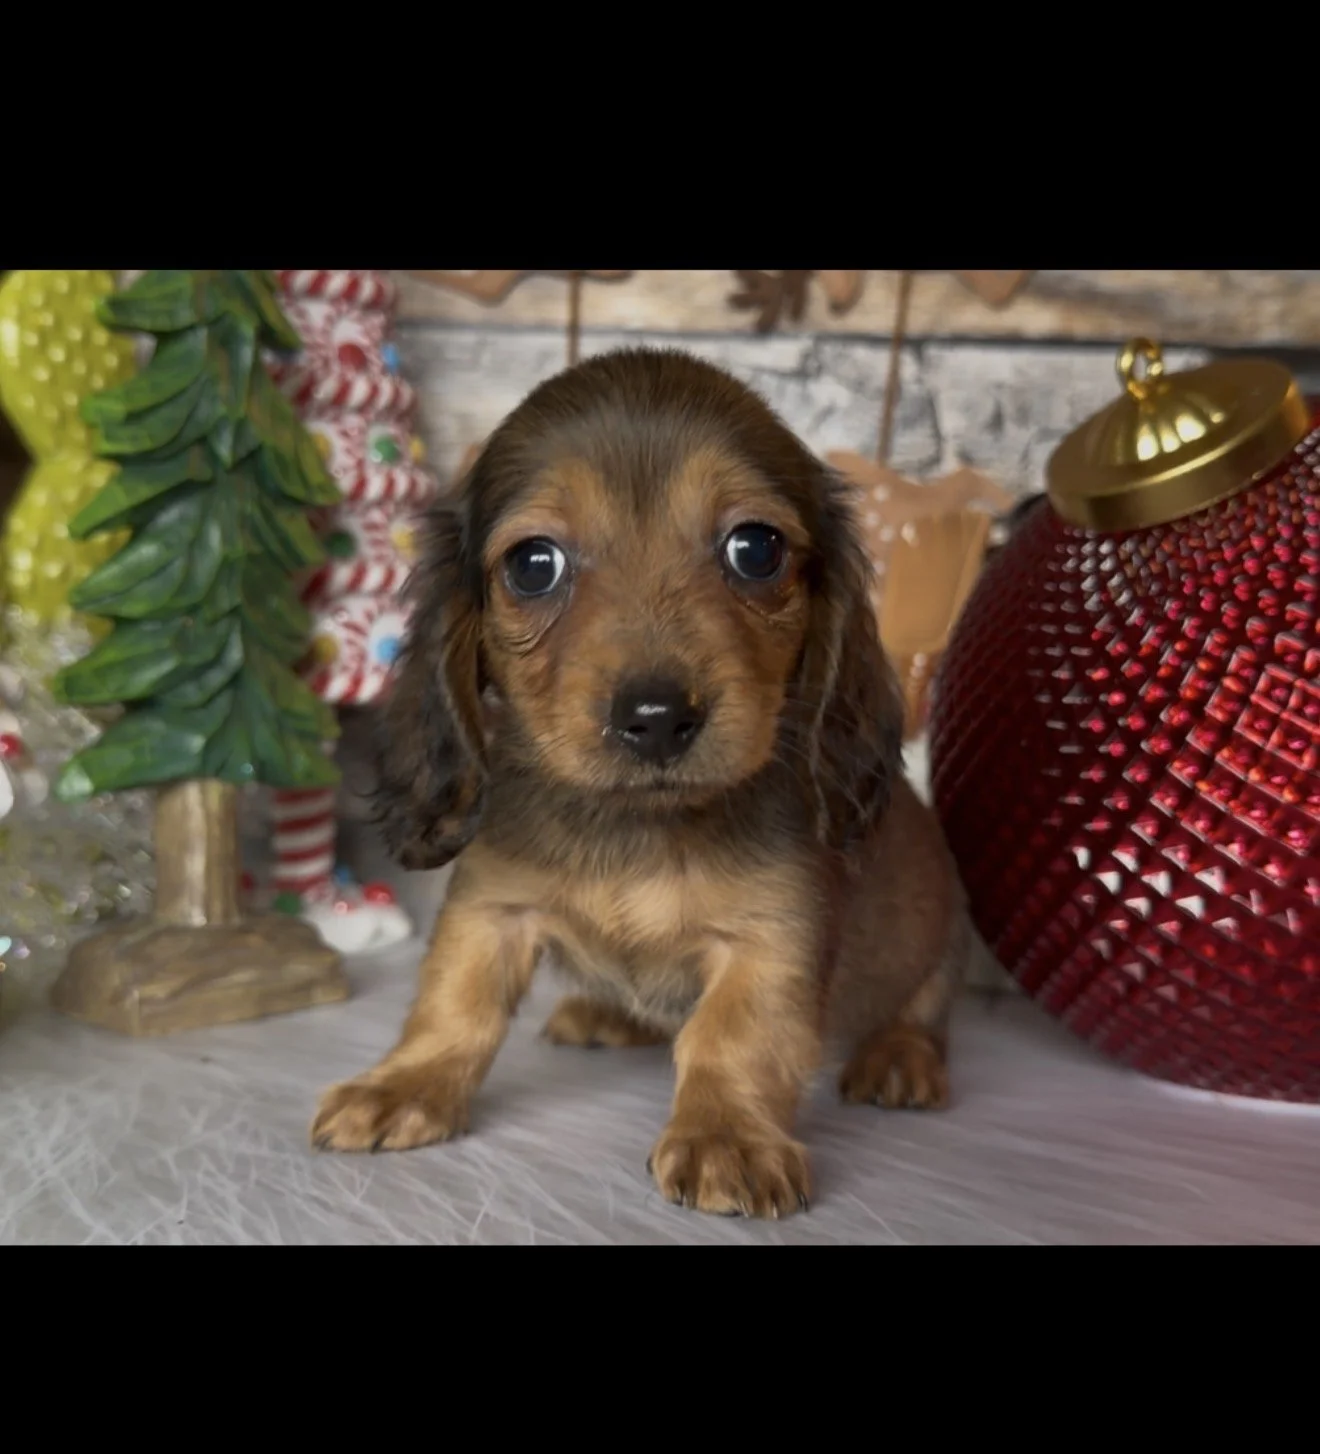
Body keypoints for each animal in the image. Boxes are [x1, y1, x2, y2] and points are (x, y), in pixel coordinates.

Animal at [311, 347, 970, 1219]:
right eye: (533, 565)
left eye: (755, 549)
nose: (657, 717)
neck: (638, 826)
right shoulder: (491, 907)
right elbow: (454, 1004)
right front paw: (405, 1084)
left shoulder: (774, 936)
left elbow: (734, 1037)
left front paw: (728, 1136)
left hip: (937, 942)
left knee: (923, 1010)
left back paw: (899, 1055)